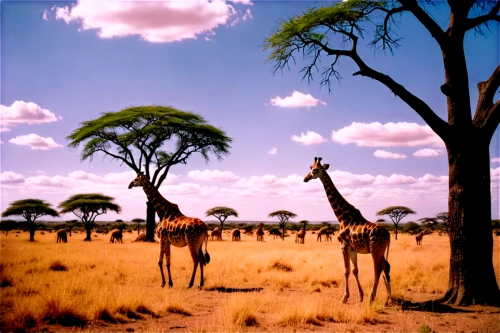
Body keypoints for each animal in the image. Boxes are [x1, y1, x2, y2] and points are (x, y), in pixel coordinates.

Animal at [302, 157, 392, 304]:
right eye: (310, 167)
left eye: (314, 170)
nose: (305, 178)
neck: (341, 217)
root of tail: (388, 234)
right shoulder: (352, 248)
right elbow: (355, 270)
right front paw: (360, 296)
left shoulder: (343, 245)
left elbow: (346, 270)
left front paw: (344, 297)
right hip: (381, 250)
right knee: (385, 266)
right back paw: (389, 298)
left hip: (375, 249)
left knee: (377, 269)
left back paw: (372, 297)